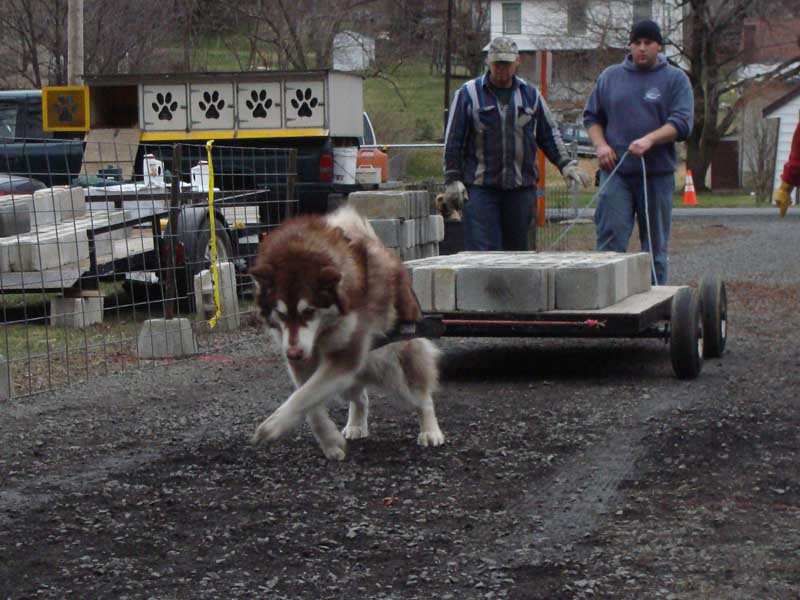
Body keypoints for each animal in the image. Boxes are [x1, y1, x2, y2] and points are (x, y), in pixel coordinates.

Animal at [250, 203, 444, 460]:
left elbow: (303, 397)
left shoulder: (345, 356)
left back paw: (430, 430)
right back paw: (355, 424)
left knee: (421, 396)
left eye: (308, 311)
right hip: (354, 377)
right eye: (280, 314)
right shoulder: (304, 361)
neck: (323, 333)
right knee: (359, 397)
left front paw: (272, 426)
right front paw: (331, 442)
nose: (293, 354)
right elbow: (307, 401)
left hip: (396, 365)